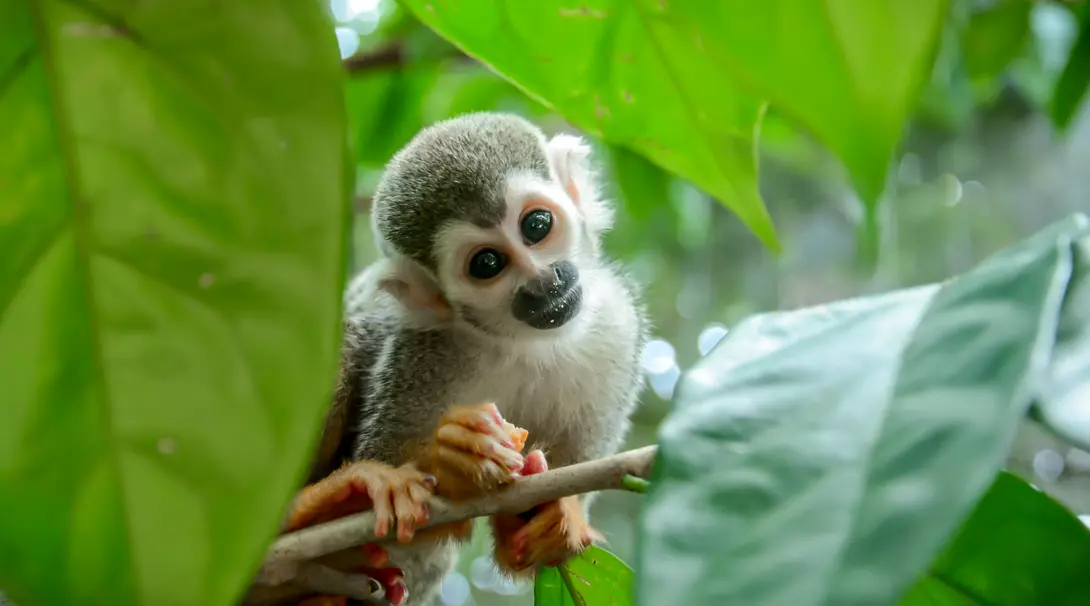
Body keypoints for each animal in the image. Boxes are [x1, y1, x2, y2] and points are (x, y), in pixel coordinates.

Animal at [277, 112, 648, 606]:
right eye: (487, 264)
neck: (524, 343)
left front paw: (552, 518)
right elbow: (394, 519)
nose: (544, 283)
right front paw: (453, 460)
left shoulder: (617, 330)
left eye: (537, 225)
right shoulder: (420, 356)